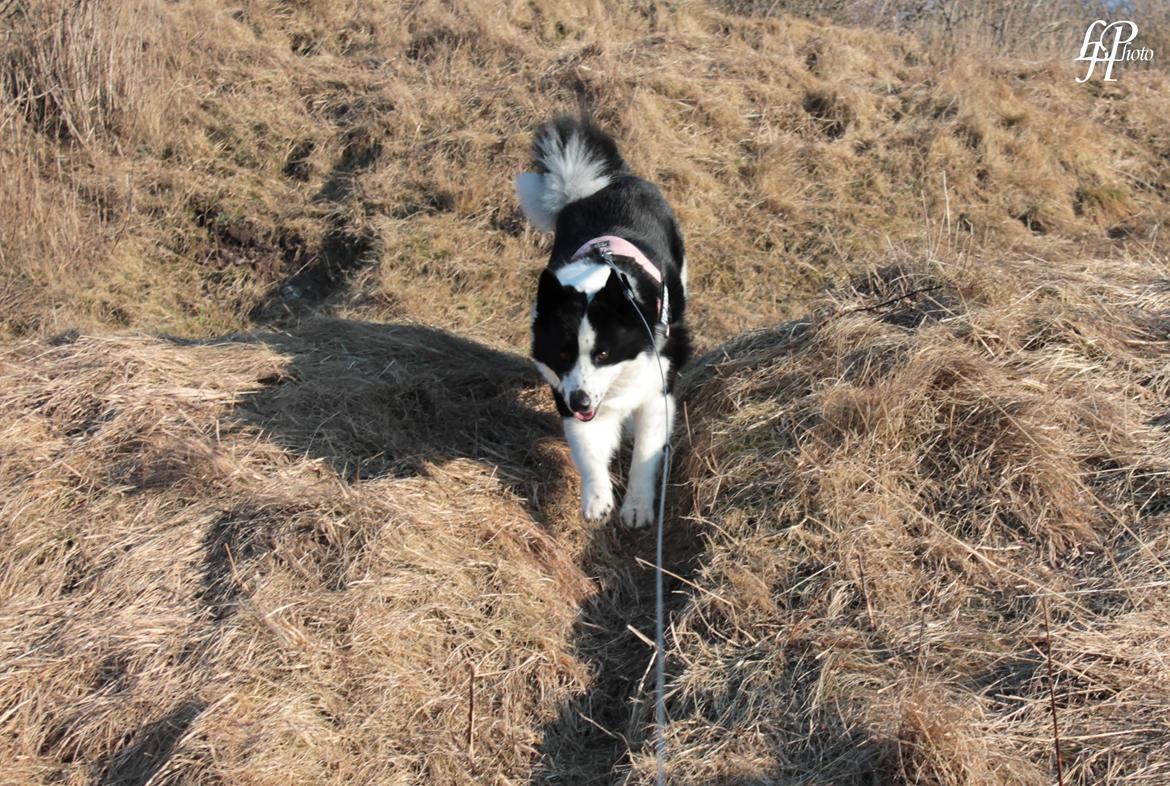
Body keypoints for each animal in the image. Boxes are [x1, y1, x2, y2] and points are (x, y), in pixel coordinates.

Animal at [517, 116, 687, 528]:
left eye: (604, 354)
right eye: (563, 354)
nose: (579, 401)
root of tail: (614, 181)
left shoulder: (658, 389)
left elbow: (647, 453)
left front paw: (638, 507)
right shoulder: (566, 392)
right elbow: (587, 450)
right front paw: (597, 500)